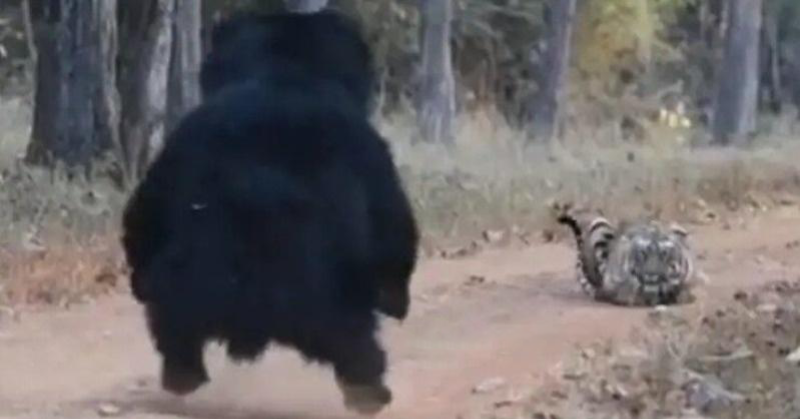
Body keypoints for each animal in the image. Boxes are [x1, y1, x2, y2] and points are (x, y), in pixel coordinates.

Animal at [121, 9, 418, 416]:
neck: (281, 70)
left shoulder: (180, 144)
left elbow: (144, 216)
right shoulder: (368, 153)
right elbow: (393, 225)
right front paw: (396, 299)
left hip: (189, 279)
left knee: (171, 316)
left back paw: (182, 372)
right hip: (329, 298)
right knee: (357, 336)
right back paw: (369, 391)